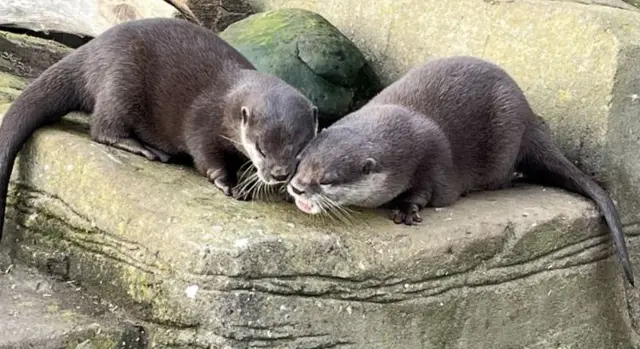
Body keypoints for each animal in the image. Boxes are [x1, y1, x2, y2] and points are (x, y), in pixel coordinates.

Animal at [0, 17, 318, 241]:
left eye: (298, 151)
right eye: (261, 149)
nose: (279, 174)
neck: (227, 100)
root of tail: (90, 50)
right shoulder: (203, 122)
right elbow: (206, 156)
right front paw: (228, 182)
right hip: (121, 81)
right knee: (102, 127)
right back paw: (144, 148)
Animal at [288, 55, 636, 284]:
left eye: (327, 180)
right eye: (300, 161)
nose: (297, 187)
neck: (403, 125)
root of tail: (528, 116)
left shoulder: (433, 161)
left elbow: (426, 193)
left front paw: (406, 209)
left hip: (506, 136)